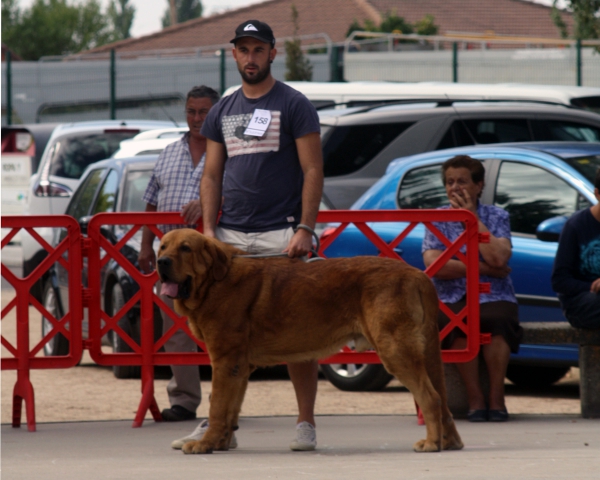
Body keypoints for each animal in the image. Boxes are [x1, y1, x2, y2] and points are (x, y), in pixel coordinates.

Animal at [157, 229, 462, 454]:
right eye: (162, 247)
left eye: (185, 248)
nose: (161, 262)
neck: (213, 281)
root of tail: (419, 274)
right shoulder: (239, 368)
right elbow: (230, 409)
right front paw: (220, 443)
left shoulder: (225, 362)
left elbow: (218, 407)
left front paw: (205, 444)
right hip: (425, 352)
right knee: (443, 400)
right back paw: (449, 442)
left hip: (395, 350)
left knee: (430, 398)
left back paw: (431, 444)